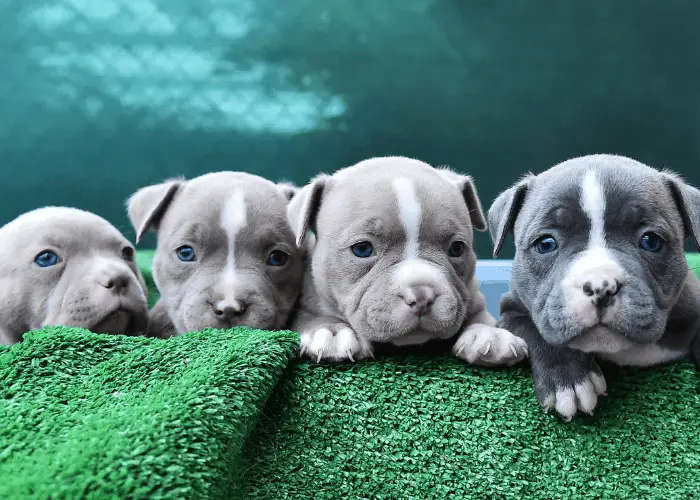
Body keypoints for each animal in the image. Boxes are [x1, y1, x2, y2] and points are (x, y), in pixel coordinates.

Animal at [288, 154, 528, 366]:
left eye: (457, 248)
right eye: (362, 249)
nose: (422, 296)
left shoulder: (473, 294)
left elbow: (480, 316)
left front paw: (491, 335)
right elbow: (312, 317)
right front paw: (332, 331)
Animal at [490, 154, 700, 420]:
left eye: (651, 241)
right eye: (545, 244)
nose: (601, 285)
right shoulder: (510, 309)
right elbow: (534, 329)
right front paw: (569, 380)